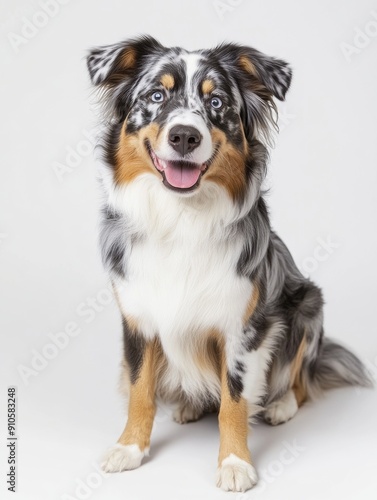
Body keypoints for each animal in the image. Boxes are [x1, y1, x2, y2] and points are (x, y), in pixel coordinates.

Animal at [86, 36, 370, 492]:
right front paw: (129, 448)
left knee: (301, 378)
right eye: (156, 96)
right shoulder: (137, 320)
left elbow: (234, 403)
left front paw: (235, 463)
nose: (185, 135)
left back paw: (281, 405)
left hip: (308, 305)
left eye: (216, 102)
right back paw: (188, 404)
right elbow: (140, 390)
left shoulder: (243, 327)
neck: (180, 218)